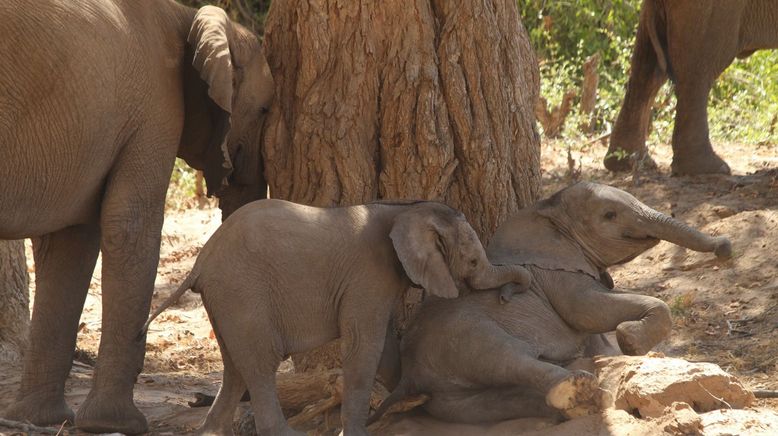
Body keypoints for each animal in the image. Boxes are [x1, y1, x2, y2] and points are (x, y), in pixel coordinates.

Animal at [0, 0, 272, 432]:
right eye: (264, 110)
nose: (200, 399)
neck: (182, 15)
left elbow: (69, 242)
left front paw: (39, 420)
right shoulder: (154, 107)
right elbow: (129, 227)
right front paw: (114, 424)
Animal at [142, 200, 532, 436]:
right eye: (472, 261)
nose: (507, 295)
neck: (405, 208)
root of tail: (201, 260)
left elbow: (384, 344)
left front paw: (410, 400)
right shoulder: (368, 275)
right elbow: (364, 345)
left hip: (226, 300)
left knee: (236, 369)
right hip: (242, 292)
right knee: (261, 364)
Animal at [368, 181, 728, 426]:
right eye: (609, 215)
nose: (724, 247)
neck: (545, 210)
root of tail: (409, 378)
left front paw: (623, 345)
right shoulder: (557, 275)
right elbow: (589, 311)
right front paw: (630, 340)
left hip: (448, 400)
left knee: (493, 402)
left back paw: (581, 403)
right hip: (460, 339)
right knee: (509, 357)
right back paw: (579, 389)